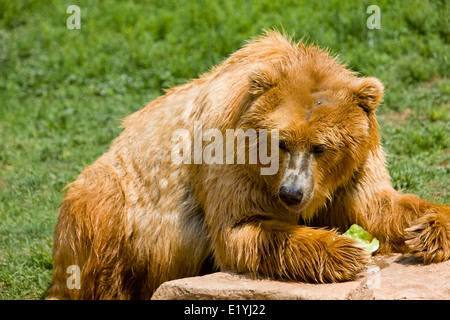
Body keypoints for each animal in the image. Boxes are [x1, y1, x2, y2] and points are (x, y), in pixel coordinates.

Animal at [46, 31, 450, 298]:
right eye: (281, 142)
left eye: (321, 147)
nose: (292, 193)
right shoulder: (229, 152)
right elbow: (243, 226)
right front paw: (345, 251)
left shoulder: (354, 166)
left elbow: (377, 202)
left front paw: (429, 229)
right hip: (115, 198)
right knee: (98, 221)